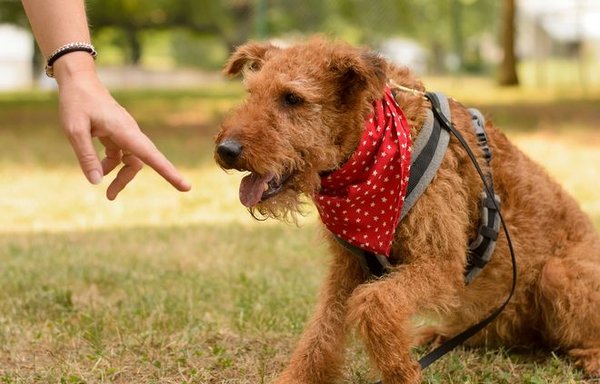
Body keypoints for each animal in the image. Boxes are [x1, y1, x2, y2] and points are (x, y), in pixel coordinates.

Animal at [213, 36, 596, 384]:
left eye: (292, 98)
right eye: (251, 93)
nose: (225, 150)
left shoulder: (441, 262)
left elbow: (374, 305)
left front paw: (400, 371)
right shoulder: (349, 267)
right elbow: (321, 332)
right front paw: (299, 376)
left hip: (556, 274)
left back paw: (591, 358)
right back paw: (437, 335)